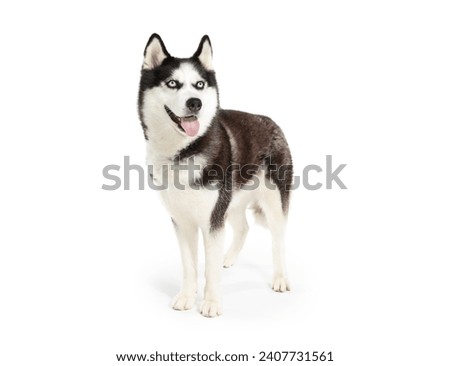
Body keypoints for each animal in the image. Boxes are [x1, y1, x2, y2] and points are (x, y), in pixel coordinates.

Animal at [138, 33, 292, 316]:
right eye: (173, 83)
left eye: (199, 84)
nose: (195, 103)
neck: (185, 151)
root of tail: (269, 120)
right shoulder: (182, 221)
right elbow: (189, 266)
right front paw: (187, 297)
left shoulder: (212, 221)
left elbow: (208, 268)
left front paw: (210, 303)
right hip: (231, 202)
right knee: (243, 227)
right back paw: (228, 257)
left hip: (274, 202)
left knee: (279, 240)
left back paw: (280, 278)